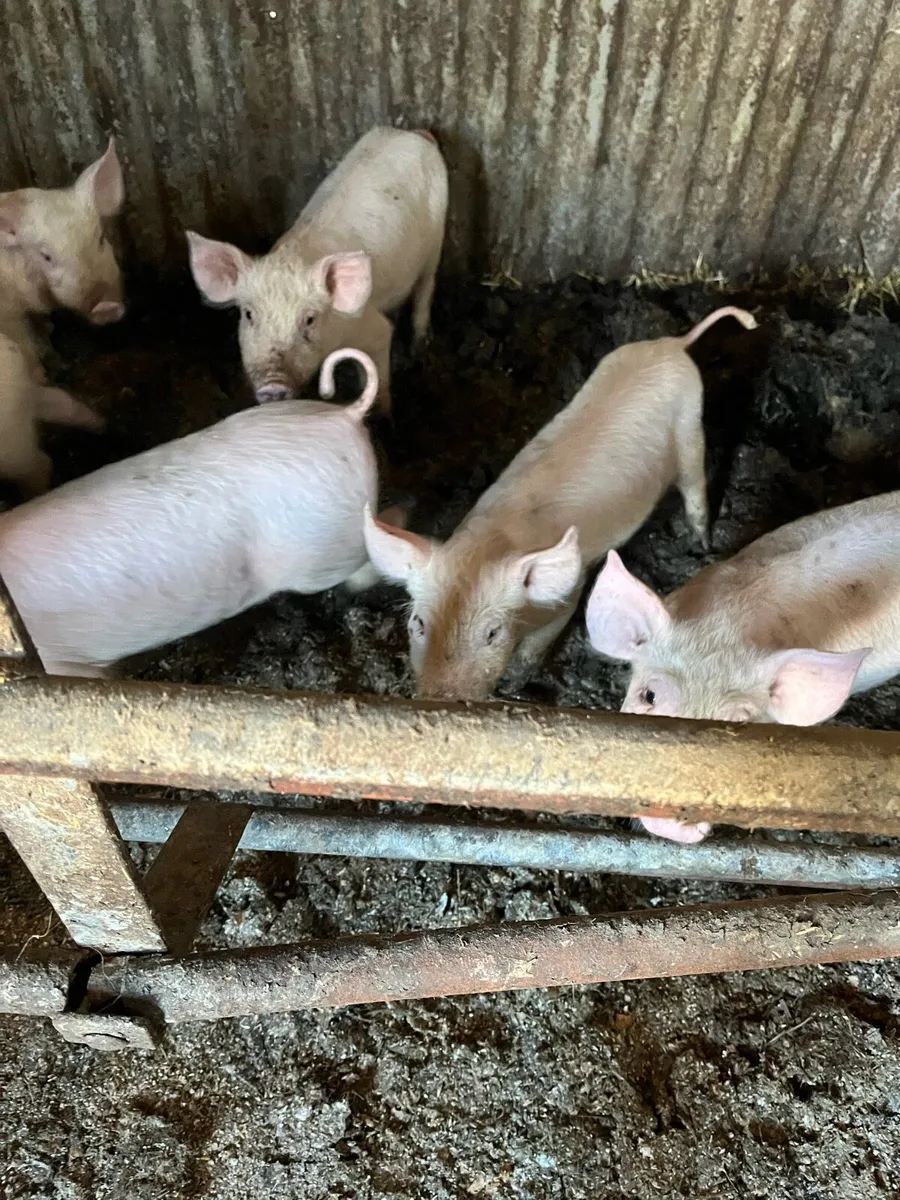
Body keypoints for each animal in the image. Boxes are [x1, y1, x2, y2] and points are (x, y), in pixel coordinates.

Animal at [186, 125, 448, 415]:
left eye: (309, 319)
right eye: (248, 314)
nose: (273, 385)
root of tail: (413, 133)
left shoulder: (371, 327)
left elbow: (378, 371)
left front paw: (383, 416)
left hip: (437, 235)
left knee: (426, 285)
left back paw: (418, 348)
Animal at [363, 306, 758, 700]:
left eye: (492, 632)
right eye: (418, 622)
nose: (440, 698)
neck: (491, 542)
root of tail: (673, 344)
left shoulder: (569, 593)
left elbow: (539, 643)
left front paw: (515, 683)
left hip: (691, 426)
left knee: (695, 487)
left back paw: (702, 543)